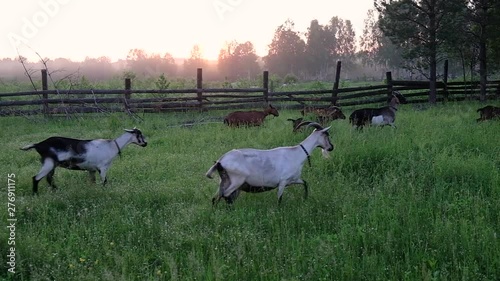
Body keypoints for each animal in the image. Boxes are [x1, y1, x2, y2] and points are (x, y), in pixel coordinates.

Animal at [205, 121, 334, 205]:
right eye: (327, 135)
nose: (331, 147)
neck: (297, 153)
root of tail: (220, 161)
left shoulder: (293, 179)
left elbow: (305, 183)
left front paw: (305, 199)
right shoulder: (283, 181)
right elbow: (279, 199)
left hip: (224, 181)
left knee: (216, 197)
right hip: (237, 180)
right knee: (226, 195)